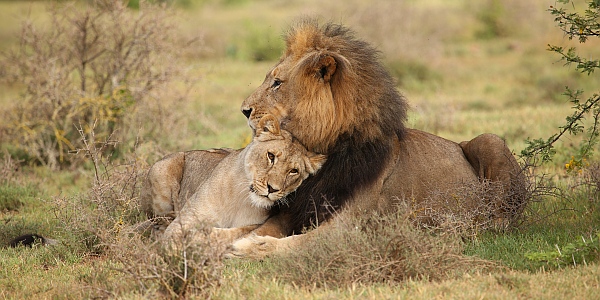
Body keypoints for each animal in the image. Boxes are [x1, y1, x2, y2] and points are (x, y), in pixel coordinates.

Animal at [139, 113, 326, 245]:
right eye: (271, 156)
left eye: (294, 171)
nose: (272, 189)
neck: (242, 199)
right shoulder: (183, 222)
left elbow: (235, 232)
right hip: (162, 169)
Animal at [230, 19, 524, 258]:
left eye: (277, 83)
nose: (244, 110)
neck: (322, 152)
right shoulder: (293, 212)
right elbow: (258, 228)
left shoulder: (347, 226)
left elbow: (294, 243)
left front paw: (247, 248)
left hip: (490, 141)